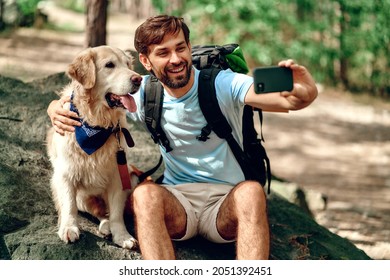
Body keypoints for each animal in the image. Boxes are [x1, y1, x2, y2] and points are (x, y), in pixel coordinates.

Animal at [46, 46, 142, 249]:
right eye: (110, 65)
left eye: (127, 64)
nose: (138, 79)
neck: (97, 124)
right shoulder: (65, 174)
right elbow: (69, 205)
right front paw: (68, 228)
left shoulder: (118, 176)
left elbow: (116, 213)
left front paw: (122, 235)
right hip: (77, 193)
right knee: (97, 211)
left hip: (132, 176)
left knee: (106, 212)